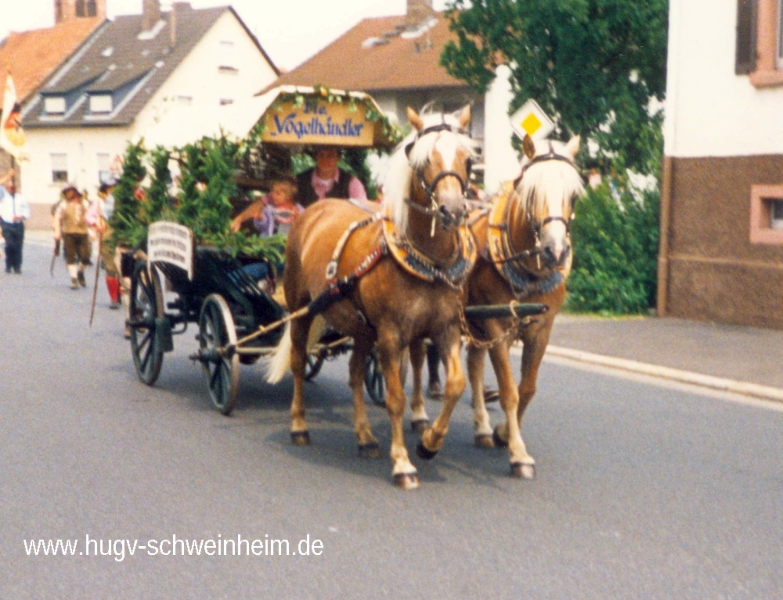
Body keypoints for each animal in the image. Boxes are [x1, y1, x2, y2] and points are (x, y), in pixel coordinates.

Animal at [266, 108, 478, 490]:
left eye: (467, 159)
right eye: (424, 160)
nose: (453, 211)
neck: (430, 262)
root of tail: (314, 210)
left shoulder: (447, 329)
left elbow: (455, 384)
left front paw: (429, 443)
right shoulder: (392, 335)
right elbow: (395, 398)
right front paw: (403, 462)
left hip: (361, 327)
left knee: (353, 374)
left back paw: (364, 437)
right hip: (302, 309)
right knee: (298, 362)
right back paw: (299, 426)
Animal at [410, 135, 580, 478]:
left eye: (573, 195)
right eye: (532, 192)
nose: (555, 251)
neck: (529, 270)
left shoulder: (541, 329)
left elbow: (526, 388)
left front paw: (503, 433)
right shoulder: (497, 324)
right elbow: (509, 391)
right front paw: (518, 454)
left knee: (474, 365)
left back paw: (483, 428)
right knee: (419, 355)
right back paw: (420, 414)